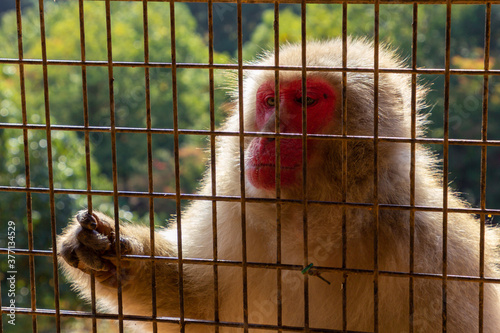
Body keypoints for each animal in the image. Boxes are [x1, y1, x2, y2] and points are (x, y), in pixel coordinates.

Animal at [58, 37, 500, 330]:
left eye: (306, 101)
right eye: (271, 101)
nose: (267, 135)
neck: (319, 219)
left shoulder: (436, 257)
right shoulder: (234, 205)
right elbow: (204, 304)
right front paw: (113, 253)